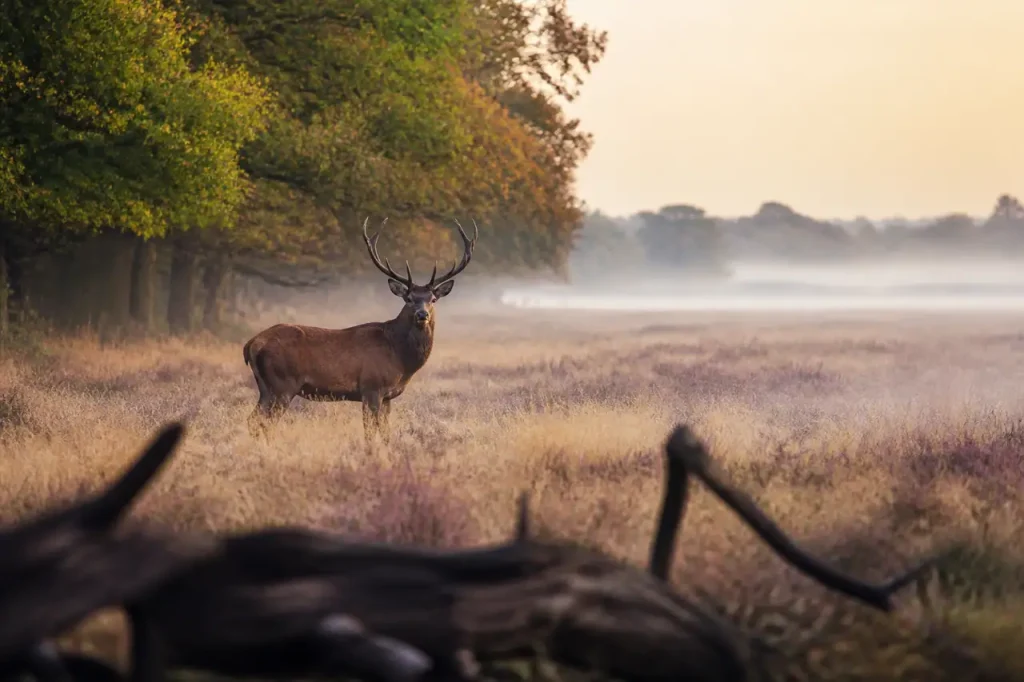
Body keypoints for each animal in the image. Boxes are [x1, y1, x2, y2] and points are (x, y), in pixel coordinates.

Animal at [243, 217, 478, 444]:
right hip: (282, 384)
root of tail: (251, 345)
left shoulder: (387, 396)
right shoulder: (371, 387)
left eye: (433, 299)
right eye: (409, 298)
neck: (400, 358)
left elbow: (385, 433)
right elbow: (369, 433)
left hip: (266, 387)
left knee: (253, 420)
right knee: (262, 422)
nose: (422, 315)